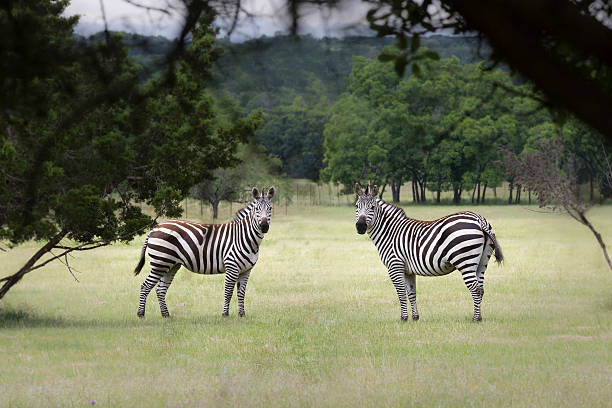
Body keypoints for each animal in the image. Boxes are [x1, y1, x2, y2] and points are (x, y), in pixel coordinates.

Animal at [136, 186, 278, 318]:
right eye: (257, 209)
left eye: (270, 208)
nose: (264, 226)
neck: (244, 237)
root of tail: (155, 228)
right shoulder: (232, 267)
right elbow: (228, 292)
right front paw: (225, 314)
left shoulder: (246, 270)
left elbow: (241, 293)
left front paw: (242, 315)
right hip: (160, 263)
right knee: (145, 286)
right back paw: (141, 314)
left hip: (171, 265)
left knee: (160, 289)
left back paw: (166, 315)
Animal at [354, 184, 502, 322]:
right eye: (356, 206)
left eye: (372, 207)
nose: (360, 226)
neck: (390, 232)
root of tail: (479, 219)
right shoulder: (408, 270)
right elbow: (411, 293)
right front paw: (415, 318)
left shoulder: (395, 266)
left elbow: (401, 293)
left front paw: (403, 318)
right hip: (481, 263)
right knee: (481, 289)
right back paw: (479, 317)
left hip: (465, 261)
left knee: (475, 289)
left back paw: (475, 319)